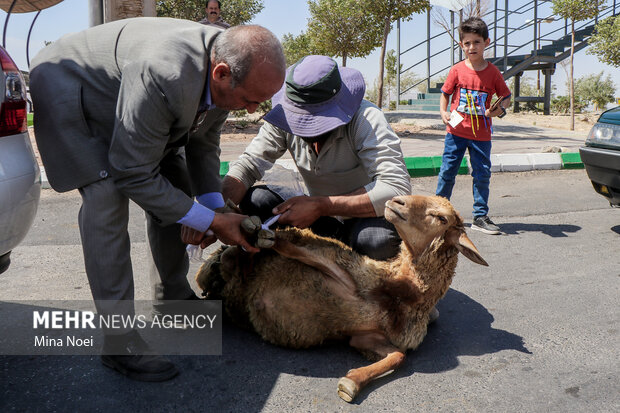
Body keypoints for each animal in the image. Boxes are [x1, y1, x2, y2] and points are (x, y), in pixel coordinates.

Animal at [196, 195, 486, 400]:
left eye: (441, 218)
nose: (397, 201)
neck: (396, 292)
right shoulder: (336, 266)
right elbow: (288, 244)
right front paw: (262, 232)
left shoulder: (365, 336)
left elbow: (398, 357)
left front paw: (351, 383)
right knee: (241, 255)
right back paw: (238, 220)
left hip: (233, 294)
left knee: (237, 267)